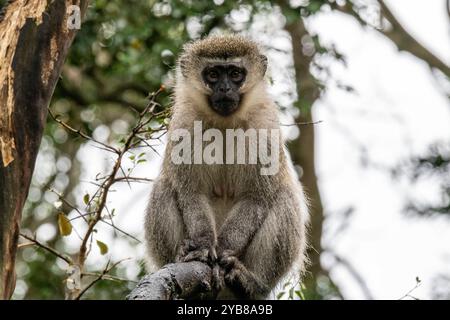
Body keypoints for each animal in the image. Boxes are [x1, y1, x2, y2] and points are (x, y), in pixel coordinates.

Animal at [146, 35, 308, 300]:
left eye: (235, 73)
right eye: (213, 74)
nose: (224, 89)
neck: (224, 123)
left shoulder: (264, 126)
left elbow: (257, 197)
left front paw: (223, 251)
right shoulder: (185, 123)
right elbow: (190, 192)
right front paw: (202, 247)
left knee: (283, 196)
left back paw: (249, 284)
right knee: (164, 186)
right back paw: (181, 255)